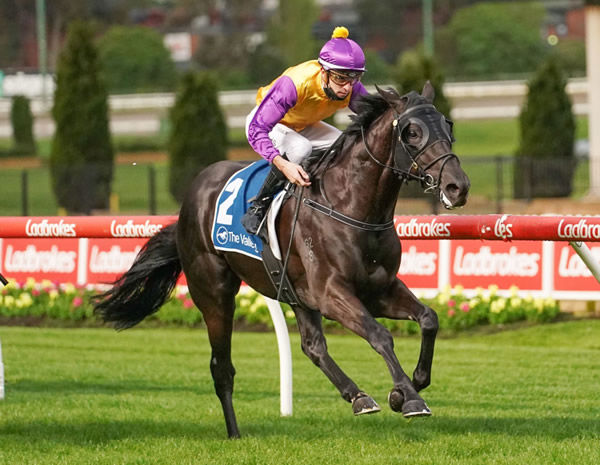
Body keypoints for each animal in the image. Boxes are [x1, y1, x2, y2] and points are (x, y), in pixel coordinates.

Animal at [94, 82, 472, 436]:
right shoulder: (331, 293)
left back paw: (357, 396)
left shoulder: (378, 290)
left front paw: (408, 386)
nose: (458, 187)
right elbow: (380, 335)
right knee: (222, 366)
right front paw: (410, 398)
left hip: (293, 291)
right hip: (214, 293)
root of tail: (190, 200)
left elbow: (429, 318)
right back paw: (235, 433)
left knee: (312, 346)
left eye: (448, 125)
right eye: (412, 132)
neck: (351, 206)